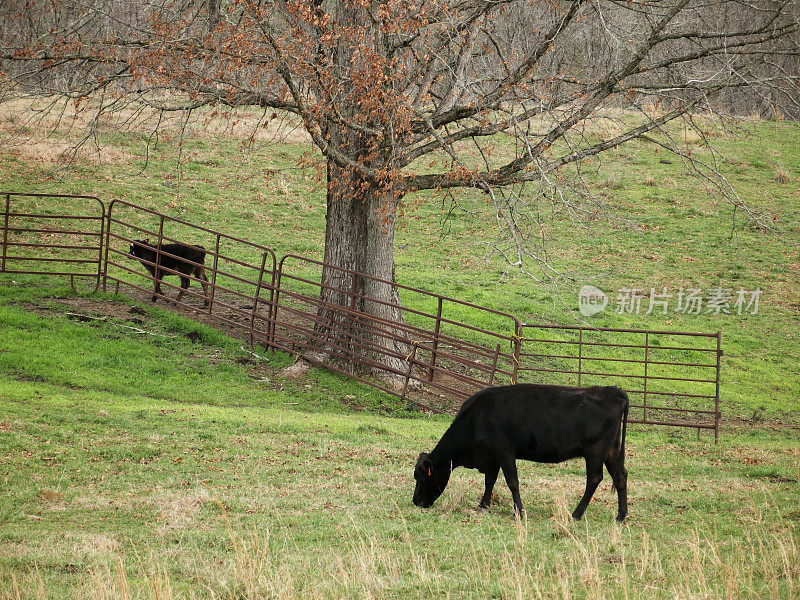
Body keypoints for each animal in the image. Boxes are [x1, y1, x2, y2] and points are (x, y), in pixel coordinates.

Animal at [416, 384, 628, 520]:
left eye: (422, 477)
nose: (416, 501)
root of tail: (611, 391)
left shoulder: (504, 451)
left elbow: (512, 482)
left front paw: (518, 512)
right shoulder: (492, 456)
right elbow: (490, 481)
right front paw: (483, 505)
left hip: (595, 450)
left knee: (594, 479)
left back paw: (576, 514)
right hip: (611, 450)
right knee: (620, 476)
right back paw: (621, 515)